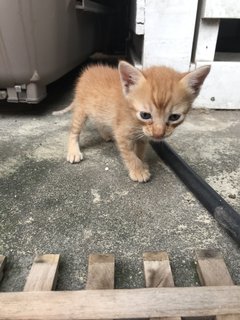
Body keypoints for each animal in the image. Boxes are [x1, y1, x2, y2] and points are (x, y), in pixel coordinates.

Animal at [62, 61, 210, 181]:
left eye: (174, 117)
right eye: (145, 115)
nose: (158, 134)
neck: (135, 120)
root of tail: (88, 72)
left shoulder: (144, 136)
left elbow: (139, 151)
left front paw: (141, 162)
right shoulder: (122, 134)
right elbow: (129, 154)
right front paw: (138, 170)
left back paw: (105, 134)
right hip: (81, 111)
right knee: (74, 131)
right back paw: (73, 152)